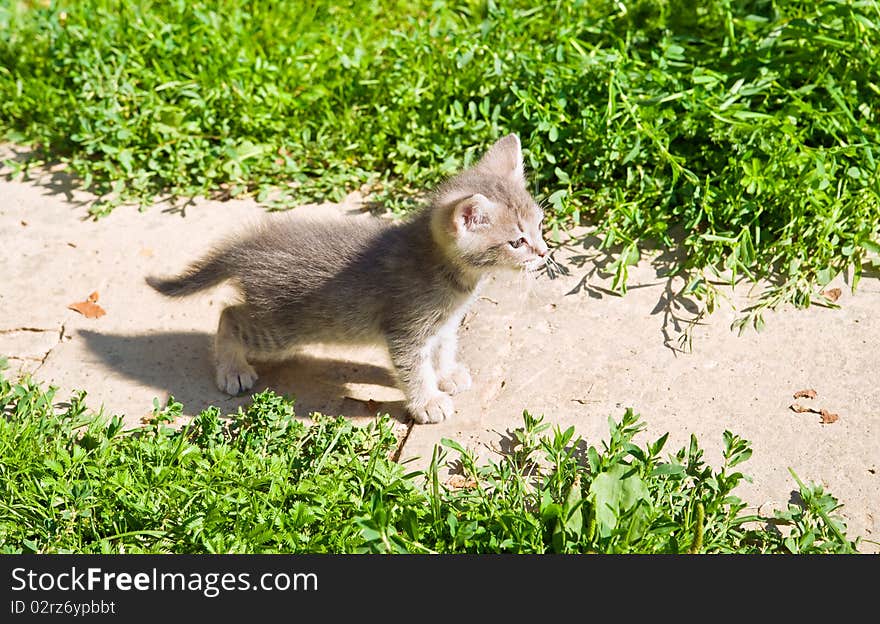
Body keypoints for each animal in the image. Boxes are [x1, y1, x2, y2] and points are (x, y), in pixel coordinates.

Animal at [148, 133, 548, 422]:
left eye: (540, 225)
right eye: (517, 242)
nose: (544, 254)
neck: (448, 273)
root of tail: (248, 247)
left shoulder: (444, 324)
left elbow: (444, 347)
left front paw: (446, 374)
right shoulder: (405, 331)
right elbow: (414, 370)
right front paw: (427, 402)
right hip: (280, 331)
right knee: (229, 316)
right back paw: (233, 370)